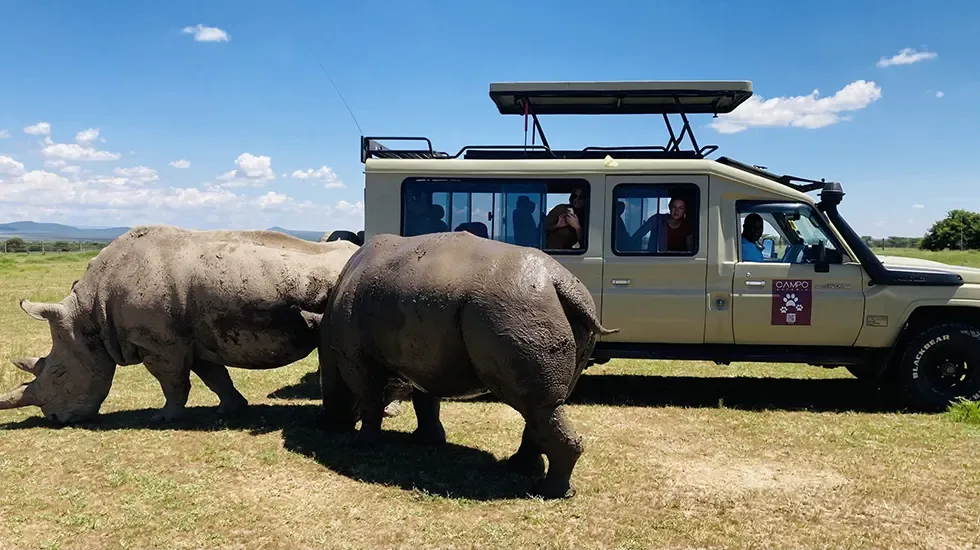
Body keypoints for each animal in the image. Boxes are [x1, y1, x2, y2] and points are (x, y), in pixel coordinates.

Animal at [0, 225, 359, 425]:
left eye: (60, 374)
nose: (56, 419)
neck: (88, 316)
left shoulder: (160, 344)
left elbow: (171, 381)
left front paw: (163, 417)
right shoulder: (194, 339)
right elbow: (214, 376)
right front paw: (231, 409)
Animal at [316, 231, 618, 499]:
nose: (329, 423)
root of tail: (560, 283)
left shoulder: (354, 357)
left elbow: (370, 398)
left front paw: (363, 443)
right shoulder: (425, 356)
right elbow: (426, 399)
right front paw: (428, 440)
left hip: (514, 308)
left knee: (538, 406)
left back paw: (548, 492)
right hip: (541, 309)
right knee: (542, 408)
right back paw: (519, 469)